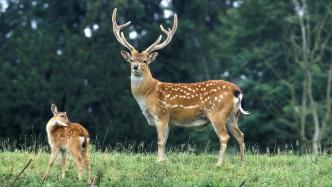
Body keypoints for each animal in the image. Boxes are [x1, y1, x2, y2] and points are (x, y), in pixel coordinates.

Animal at [112, 8, 249, 166]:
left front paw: (158, 162)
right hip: (233, 116)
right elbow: (165, 141)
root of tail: (236, 90)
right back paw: (242, 163)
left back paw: (218, 163)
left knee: (225, 137)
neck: (148, 94)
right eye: (132, 60)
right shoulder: (168, 121)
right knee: (240, 135)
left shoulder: (162, 116)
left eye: (145, 61)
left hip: (217, 113)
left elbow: (160, 142)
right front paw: (163, 160)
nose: (135, 67)